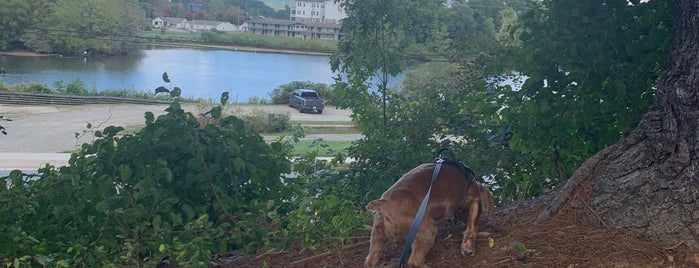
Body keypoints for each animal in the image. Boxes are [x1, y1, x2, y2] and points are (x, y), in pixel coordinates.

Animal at [364, 161, 494, 268]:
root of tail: (384, 203)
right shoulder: (475, 200)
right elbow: (472, 228)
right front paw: (469, 248)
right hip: (428, 229)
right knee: (414, 261)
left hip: (377, 236)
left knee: (370, 261)